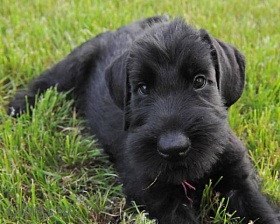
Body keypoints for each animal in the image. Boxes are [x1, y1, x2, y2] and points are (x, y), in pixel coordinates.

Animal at [7, 16, 278, 224]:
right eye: (143, 88)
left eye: (200, 81)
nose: (173, 147)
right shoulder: (158, 197)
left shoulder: (240, 182)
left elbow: (261, 212)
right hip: (73, 63)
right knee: (47, 82)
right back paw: (17, 106)